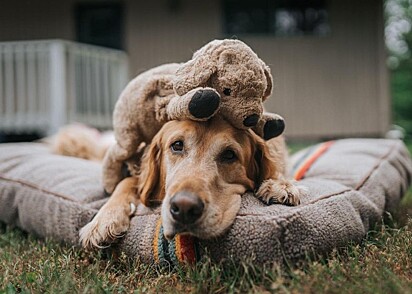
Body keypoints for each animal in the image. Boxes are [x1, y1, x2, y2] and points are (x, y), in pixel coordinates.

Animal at [52, 117, 302, 248]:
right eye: (177, 145)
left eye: (229, 155)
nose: (184, 208)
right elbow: (127, 183)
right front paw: (103, 220)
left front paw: (280, 184)